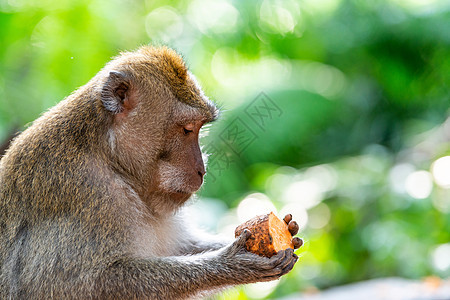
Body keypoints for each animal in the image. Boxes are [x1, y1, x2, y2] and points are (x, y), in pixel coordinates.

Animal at [0, 45, 302, 298]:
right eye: (187, 129)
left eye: (199, 128)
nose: (202, 169)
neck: (109, 157)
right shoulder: (86, 194)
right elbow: (77, 284)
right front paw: (232, 263)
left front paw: (286, 229)